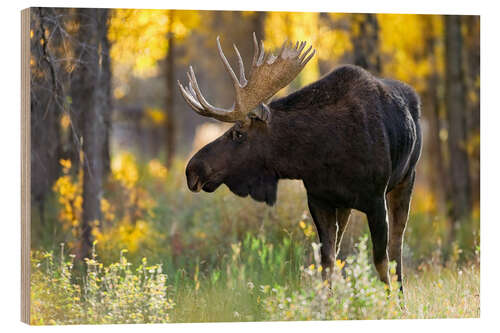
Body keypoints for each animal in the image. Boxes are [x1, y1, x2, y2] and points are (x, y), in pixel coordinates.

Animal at [179, 32, 422, 290]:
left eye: (238, 133)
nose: (192, 169)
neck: (323, 152)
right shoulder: (319, 199)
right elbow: (327, 260)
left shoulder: (375, 199)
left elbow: (381, 262)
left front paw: (389, 299)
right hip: (346, 204)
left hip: (406, 179)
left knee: (397, 246)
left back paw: (401, 294)